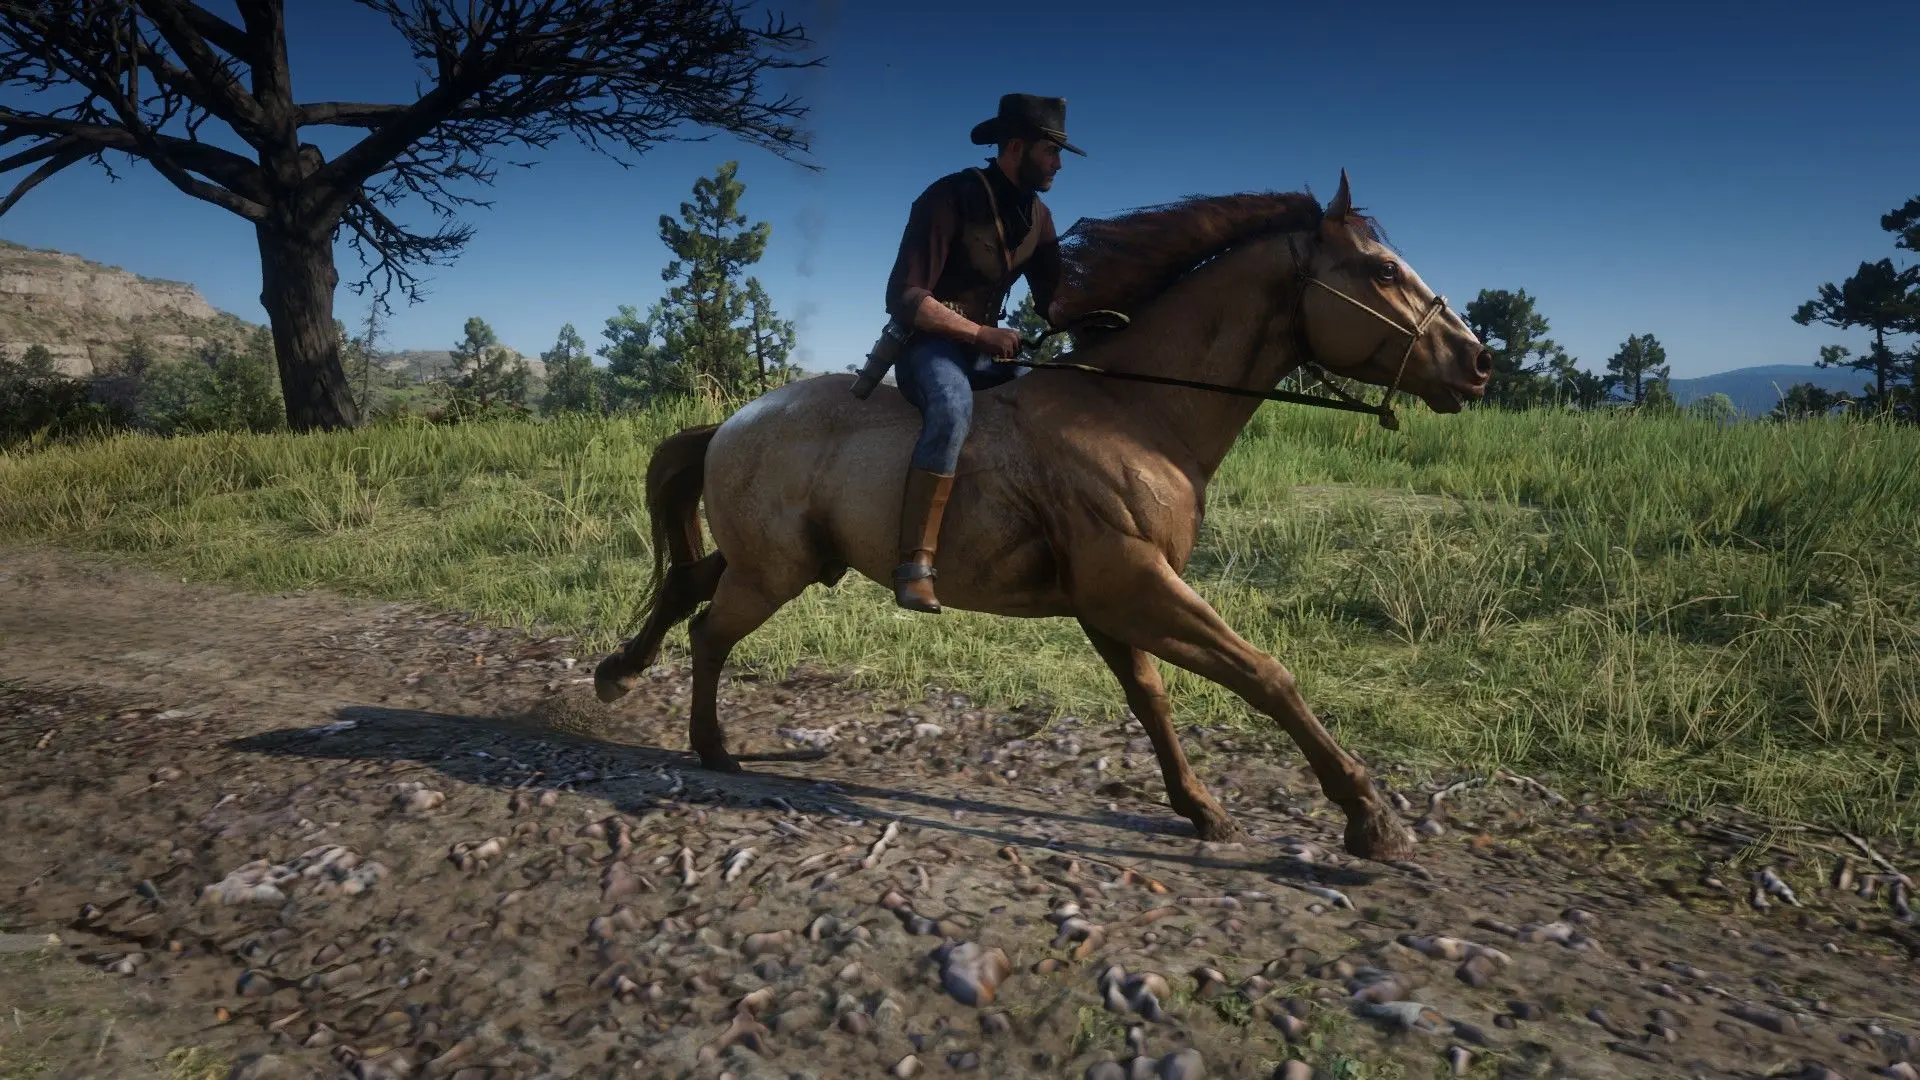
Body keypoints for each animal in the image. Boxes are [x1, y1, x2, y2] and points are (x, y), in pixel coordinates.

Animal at [591, 170, 1489, 857]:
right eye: (1379, 271)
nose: (1477, 362)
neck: (1138, 414)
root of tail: (730, 423)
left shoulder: (1114, 601)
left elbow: (1151, 698)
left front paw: (1200, 806)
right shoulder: (1133, 586)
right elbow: (1265, 675)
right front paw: (1369, 819)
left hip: (780, 561)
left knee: (685, 588)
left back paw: (620, 672)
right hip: (773, 572)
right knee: (708, 631)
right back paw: (711, 747)